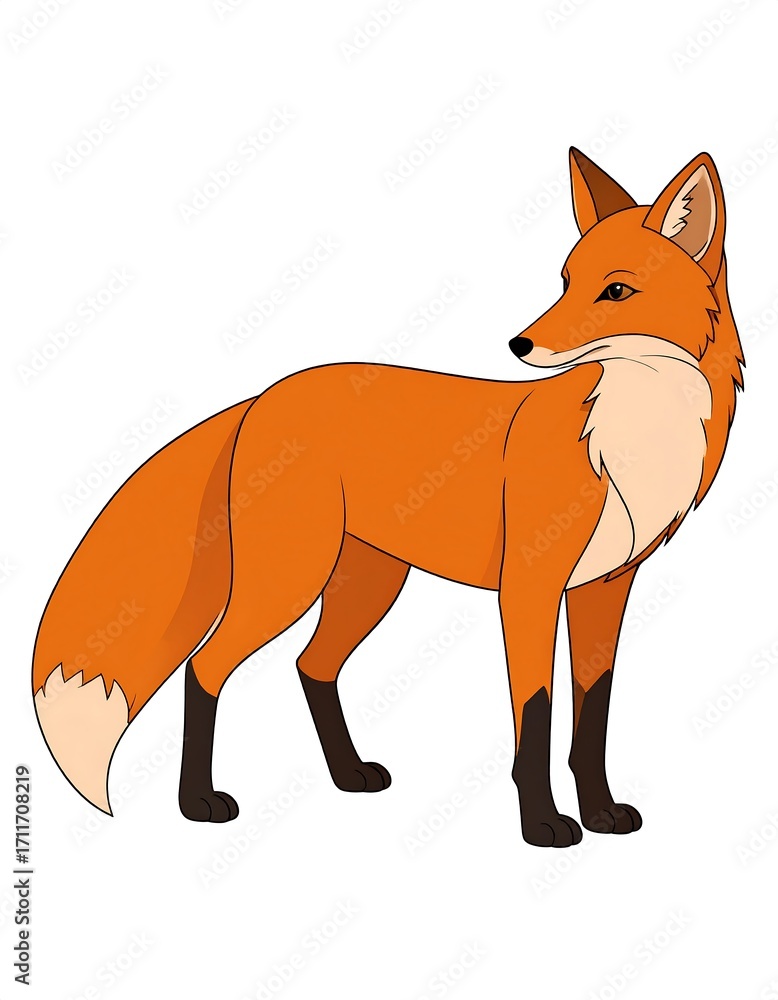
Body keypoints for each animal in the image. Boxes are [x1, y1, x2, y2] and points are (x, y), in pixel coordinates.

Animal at [33, 148, 744, 847]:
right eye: (565, 282)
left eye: (616, 290)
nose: (519, 343)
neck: (630, 436)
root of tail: (265, 394)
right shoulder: (529, 589)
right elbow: (535, 716)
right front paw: (543, 825)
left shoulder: (604, 590)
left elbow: (591, 719)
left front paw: (600, 814)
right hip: (289, 580)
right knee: (203, 669)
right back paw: (197, 802)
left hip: (367, 583)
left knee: (312, 666)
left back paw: (348, 775)